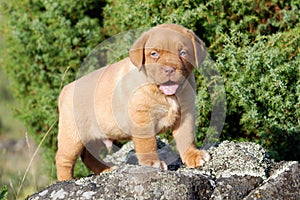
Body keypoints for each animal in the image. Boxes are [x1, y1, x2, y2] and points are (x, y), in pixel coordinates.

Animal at [55, 23, 210, 181]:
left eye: (183, 53)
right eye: (154, 54)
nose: (169, 69)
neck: (165, 95)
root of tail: (65, 89)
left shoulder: (186, 113)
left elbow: (186, 136)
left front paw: (193, 155)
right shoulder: (142, 117)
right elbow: (147, 143)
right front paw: (151, 163)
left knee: (89, 156)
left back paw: (105, 169)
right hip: (72, 135)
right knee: (63, 159)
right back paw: (65, 180)